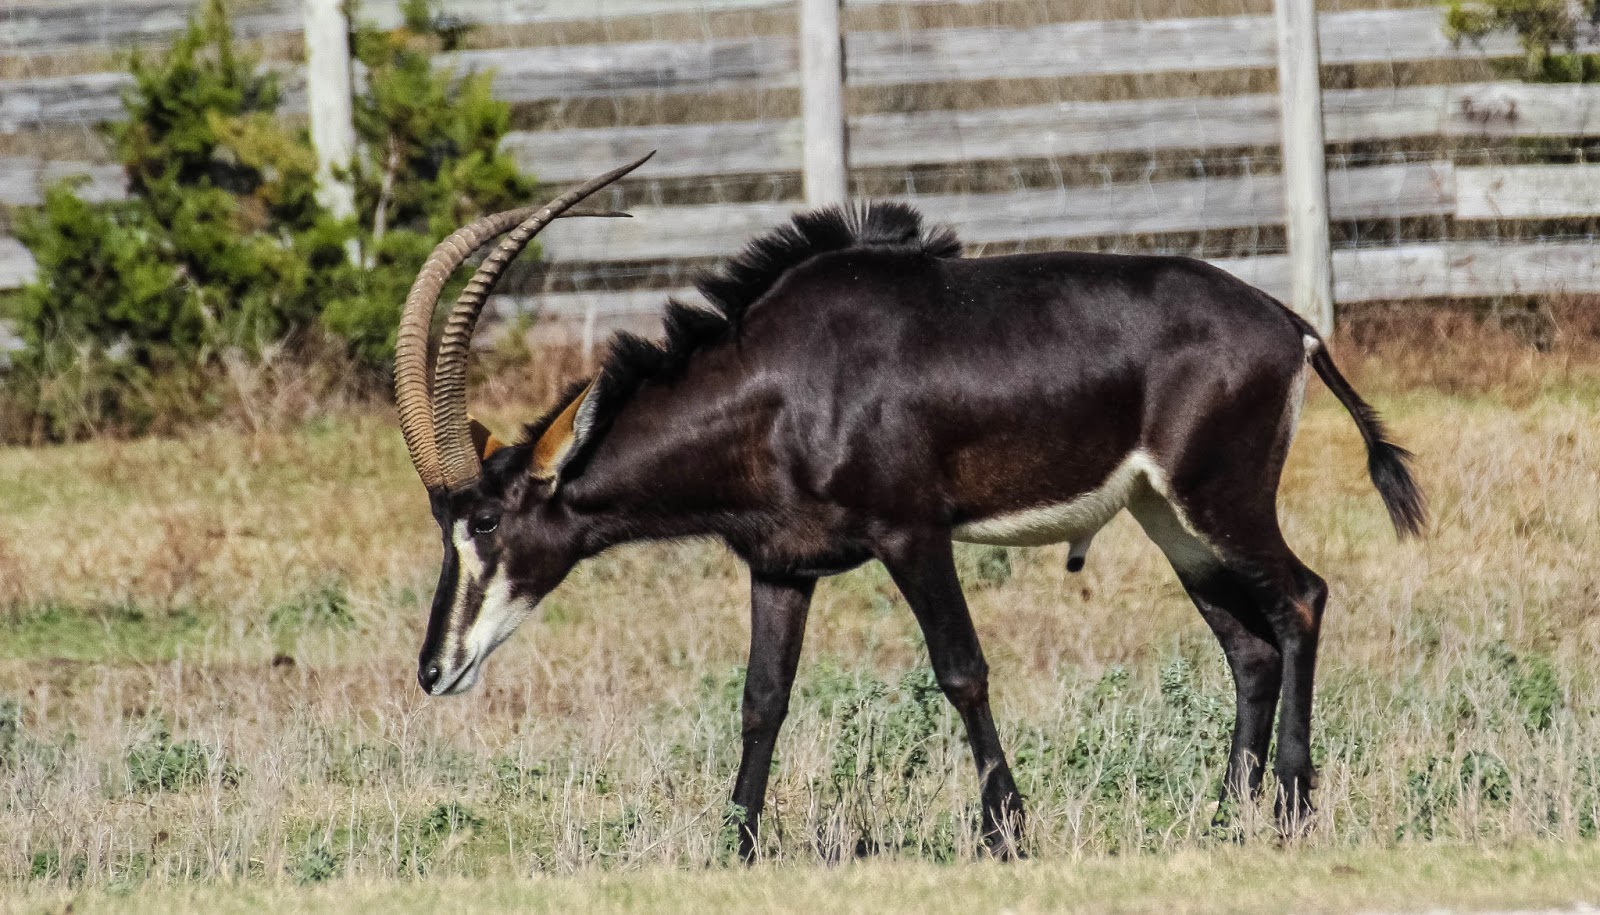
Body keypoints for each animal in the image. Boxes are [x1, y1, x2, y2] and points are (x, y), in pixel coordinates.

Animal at [395, 154, 1425, 860]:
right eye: (445, 524)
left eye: (485, 521)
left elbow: (961, 670)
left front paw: (1008, 831)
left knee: (1302, 597)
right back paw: (1221, 816)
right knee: (1248, 643)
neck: (783, 379)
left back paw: (1292, 807)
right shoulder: (781, 563)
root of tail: (1290, 324)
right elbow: (761, 699)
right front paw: (736, 845)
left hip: (1221, 499)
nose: (433, 670)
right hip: (1169, 520)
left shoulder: (913, 534)